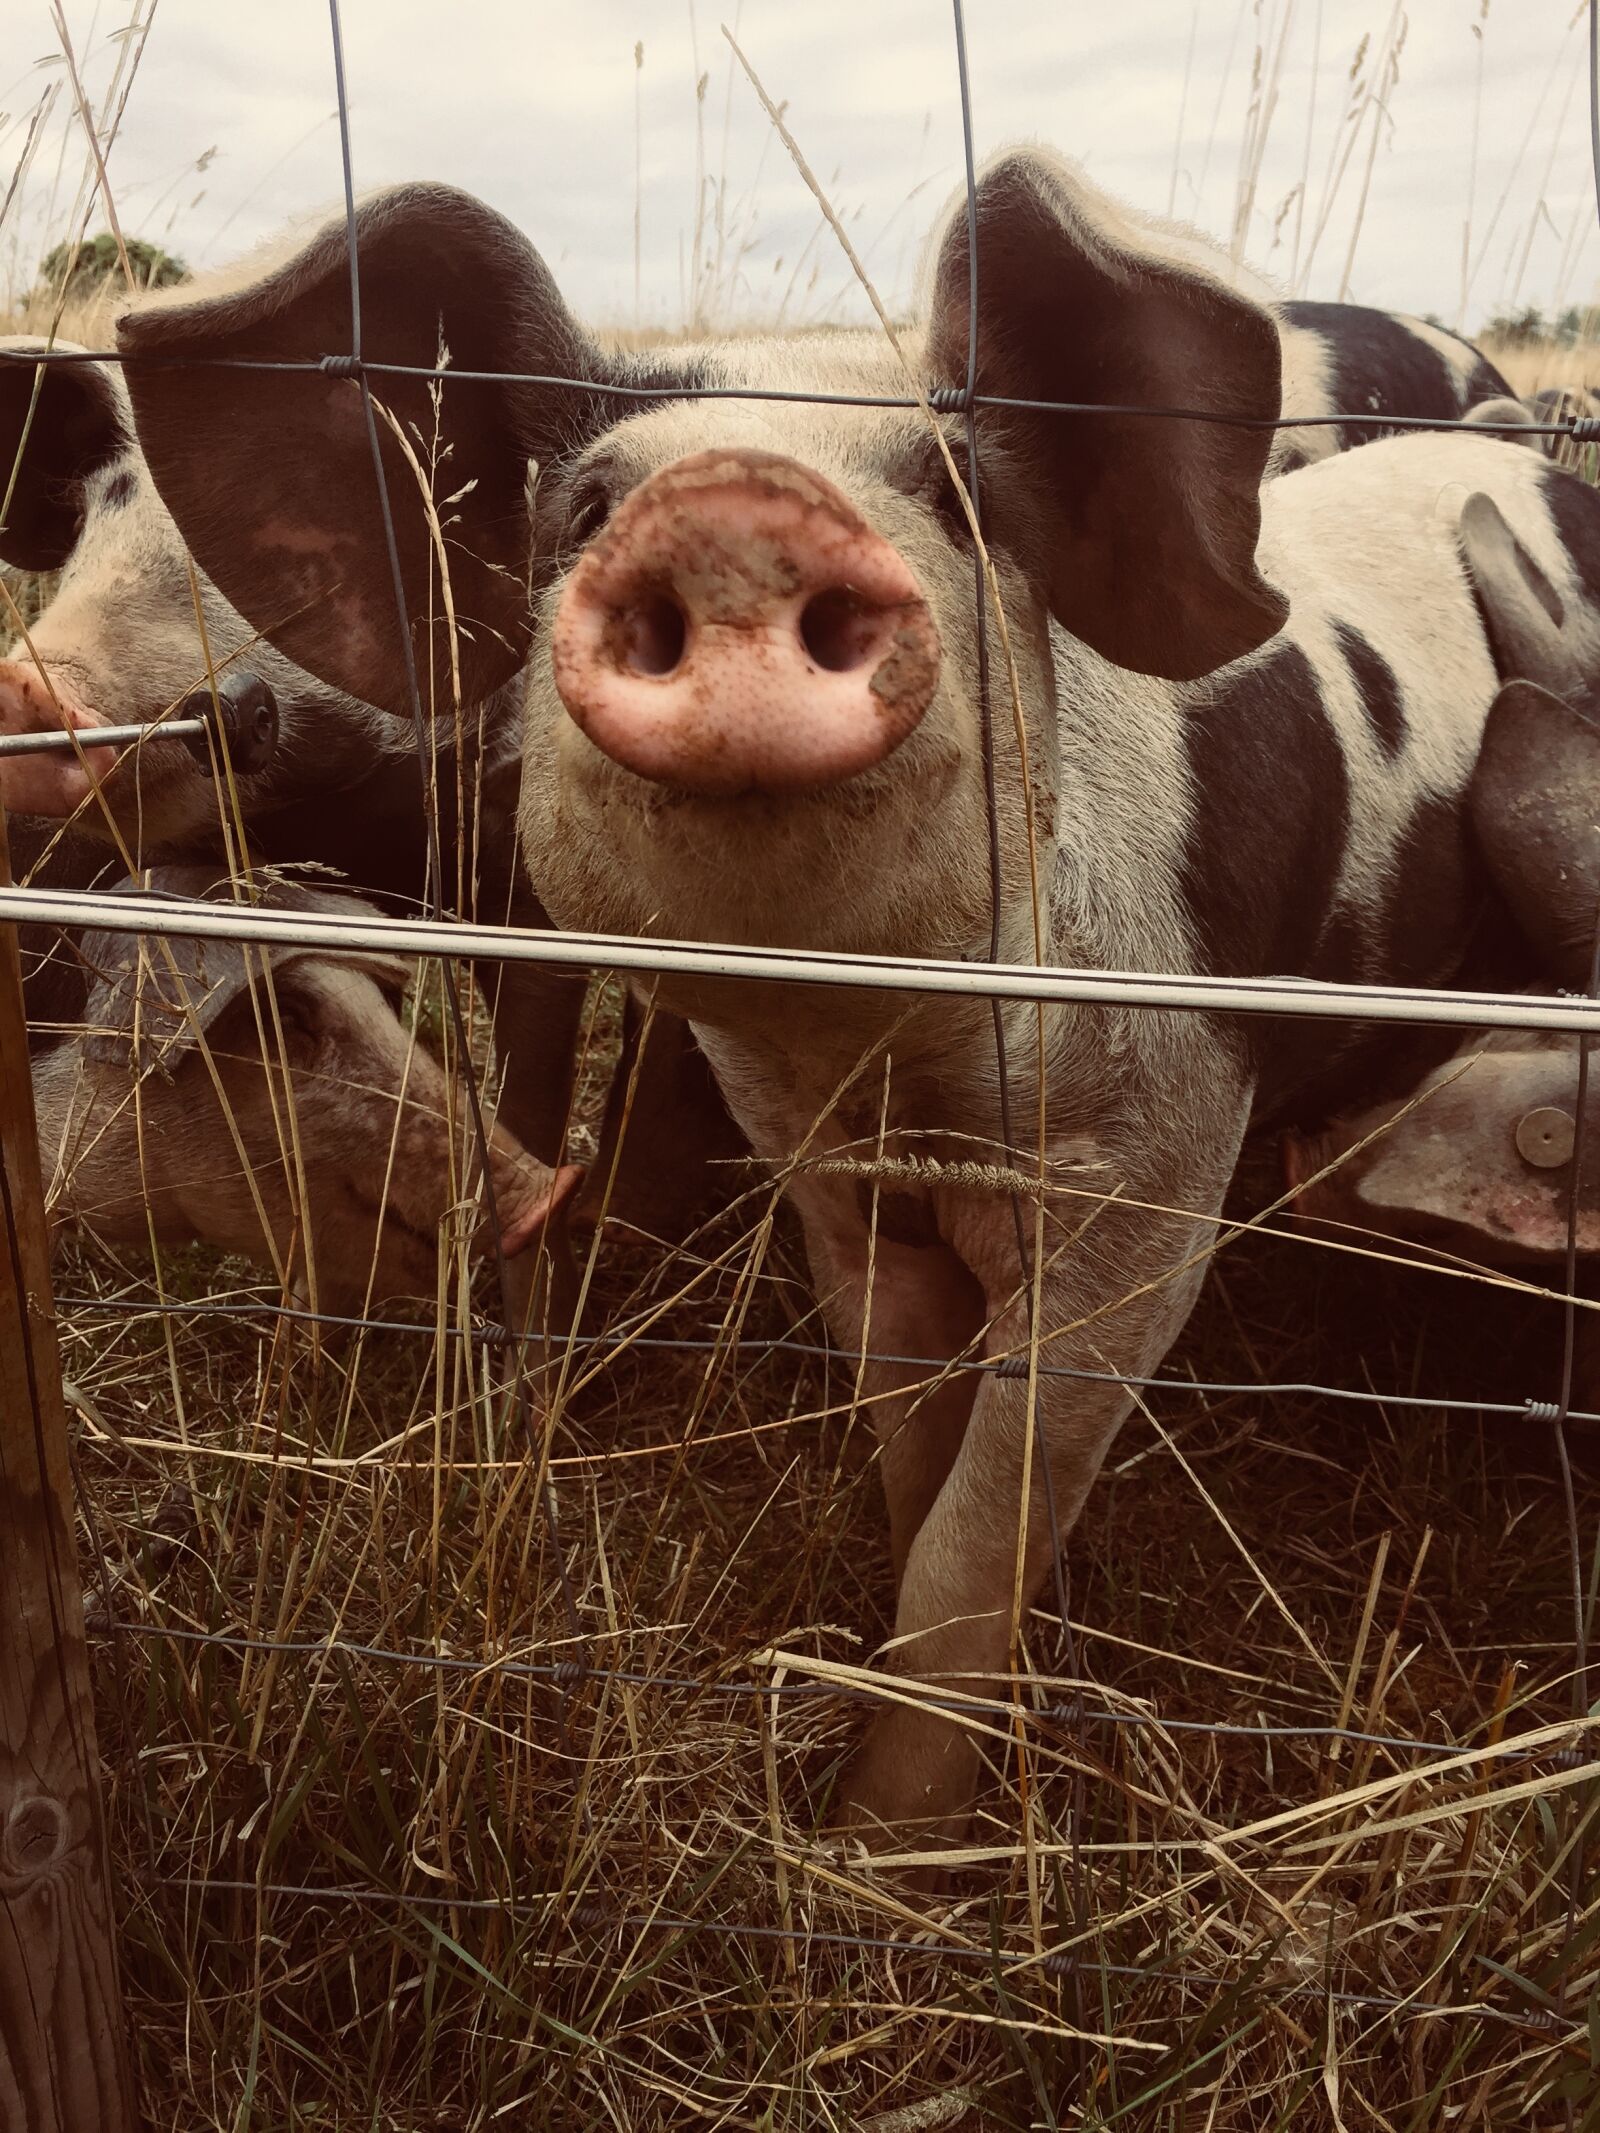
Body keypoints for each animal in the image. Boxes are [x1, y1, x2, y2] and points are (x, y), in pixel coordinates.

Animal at [108, 152, 1600, 1854]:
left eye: (956, 494)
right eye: (582, 506)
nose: (733, 505)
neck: (906, 1071)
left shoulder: (1160, 1177)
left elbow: (990, 1509)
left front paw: (894, 1852)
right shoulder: (828, 1178)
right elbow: (909, 1441)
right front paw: (871, 1806)